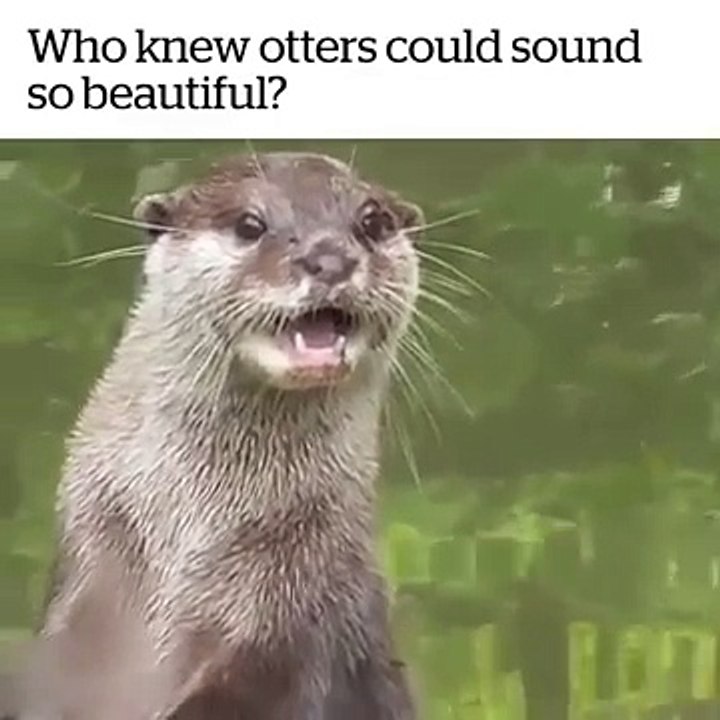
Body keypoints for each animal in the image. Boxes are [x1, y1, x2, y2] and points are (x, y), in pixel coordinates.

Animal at [21, 152, 425, 719]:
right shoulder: (91, 562)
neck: (191, 532)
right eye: (249, 225)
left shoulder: (299, 605)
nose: (328, 258)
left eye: (371, 221)